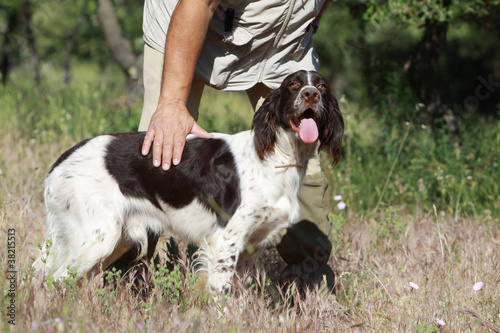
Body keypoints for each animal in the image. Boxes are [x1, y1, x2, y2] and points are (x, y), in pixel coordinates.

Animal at [32, 68, 344, 292]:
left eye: (322, 87)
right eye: (292, 85)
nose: (310, 95)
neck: (277, 157)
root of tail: (60, 162)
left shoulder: (250, 247)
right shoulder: (226, 238)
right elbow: (220, 292)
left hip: (115, 238)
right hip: (98, 237)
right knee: (53, 281)